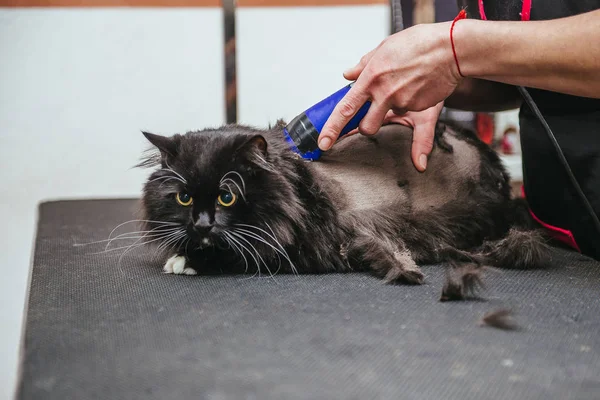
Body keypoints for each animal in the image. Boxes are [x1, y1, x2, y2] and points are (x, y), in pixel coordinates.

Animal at [138, 122, 552, 284]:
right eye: (184, 197)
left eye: (227, 196)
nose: (201, 223)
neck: (294, 185)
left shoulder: (296, 248)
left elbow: (235, 254)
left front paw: (185, 261)